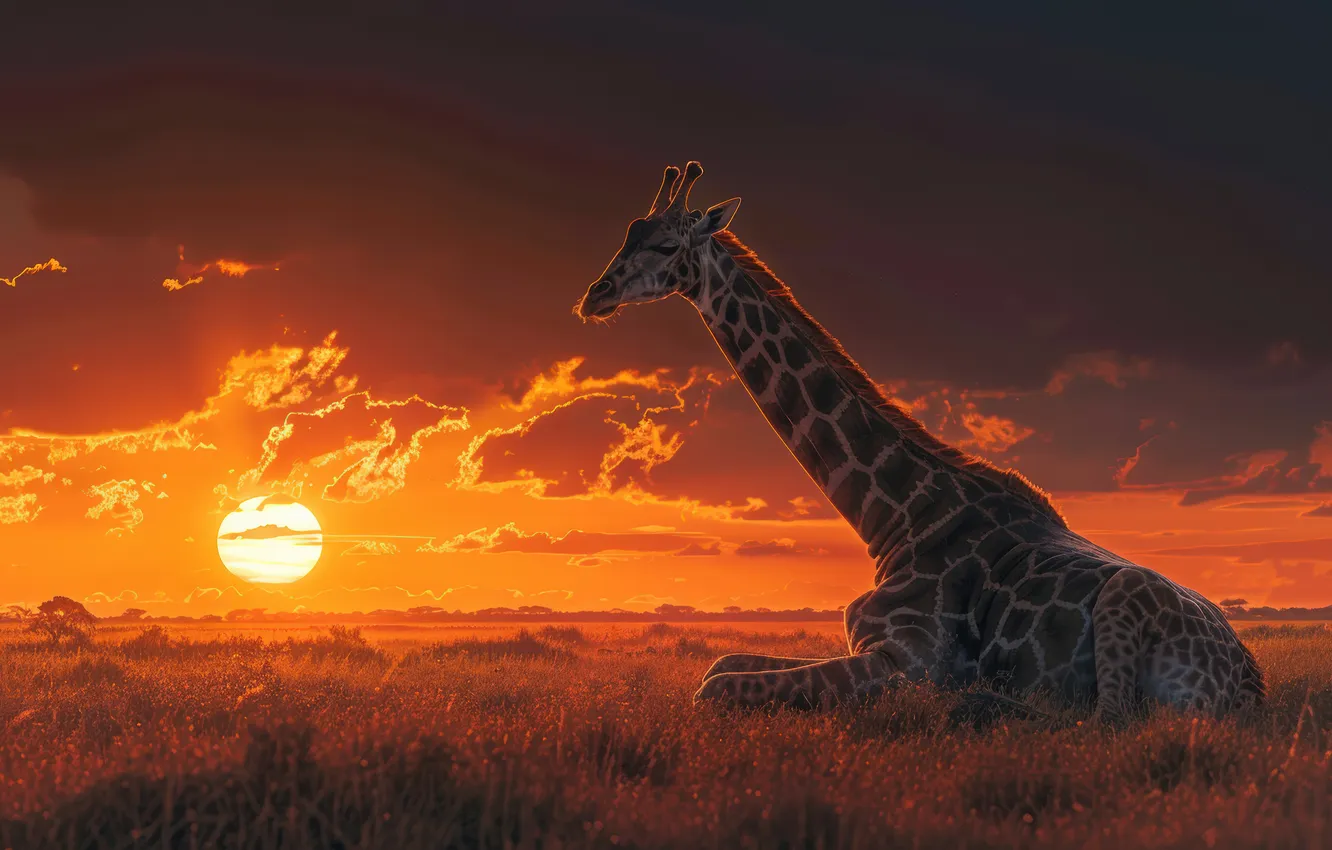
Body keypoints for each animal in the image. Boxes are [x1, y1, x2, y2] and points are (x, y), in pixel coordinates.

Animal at [575, 162, 1265, 722]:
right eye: (628, 234)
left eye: (667, 244)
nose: (594, 295)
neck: (893, 518)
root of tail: (1247, 678)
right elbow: (719, 664)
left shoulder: (906, 662)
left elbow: (714, 687)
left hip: (1126, 605)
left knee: (1109, 719)